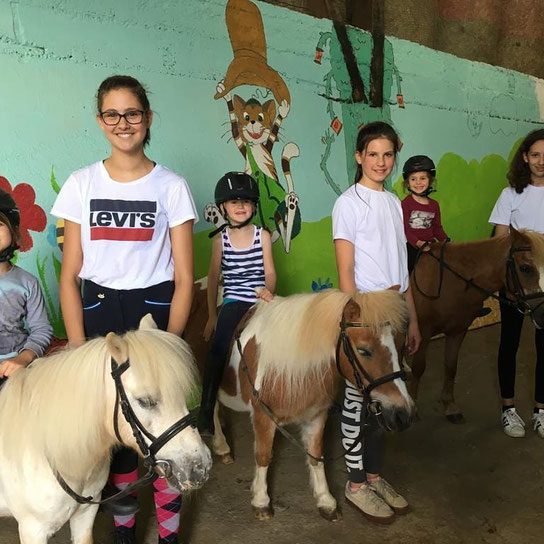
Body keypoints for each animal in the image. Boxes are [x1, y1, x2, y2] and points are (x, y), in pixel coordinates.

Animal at [410, 227, 544, 422]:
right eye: (525, 268)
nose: (543, 314)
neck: (449, 281)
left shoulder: (457, 331)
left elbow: (451, 366)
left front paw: (450, 405)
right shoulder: (423, 332)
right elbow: (418, 368)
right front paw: (412, 408)